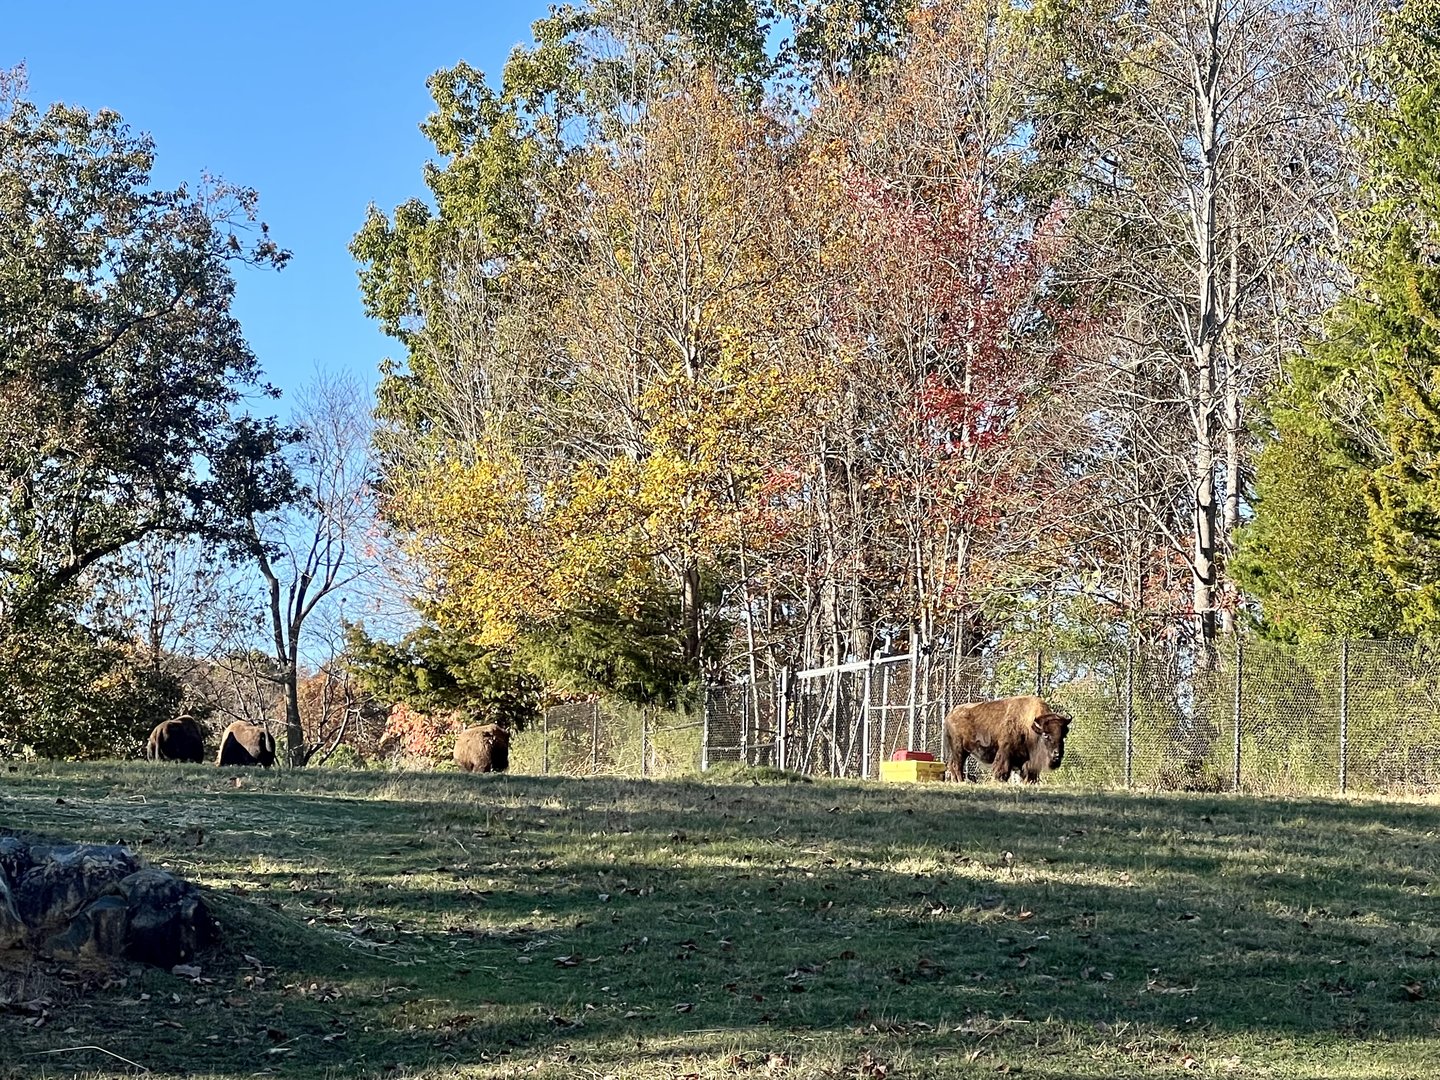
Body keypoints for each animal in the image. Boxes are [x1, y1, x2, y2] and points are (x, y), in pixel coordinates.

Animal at [943, 695, 1071, 783]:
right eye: (1046, 735)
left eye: (1063, 735)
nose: (1057, 754)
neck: (1030, 727)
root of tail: (950, 715)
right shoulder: (1005, 752)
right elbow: (1002, 769)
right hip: (959, 749)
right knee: (957, 765)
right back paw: (961, 781)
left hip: (958, 751)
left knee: (951, 764)